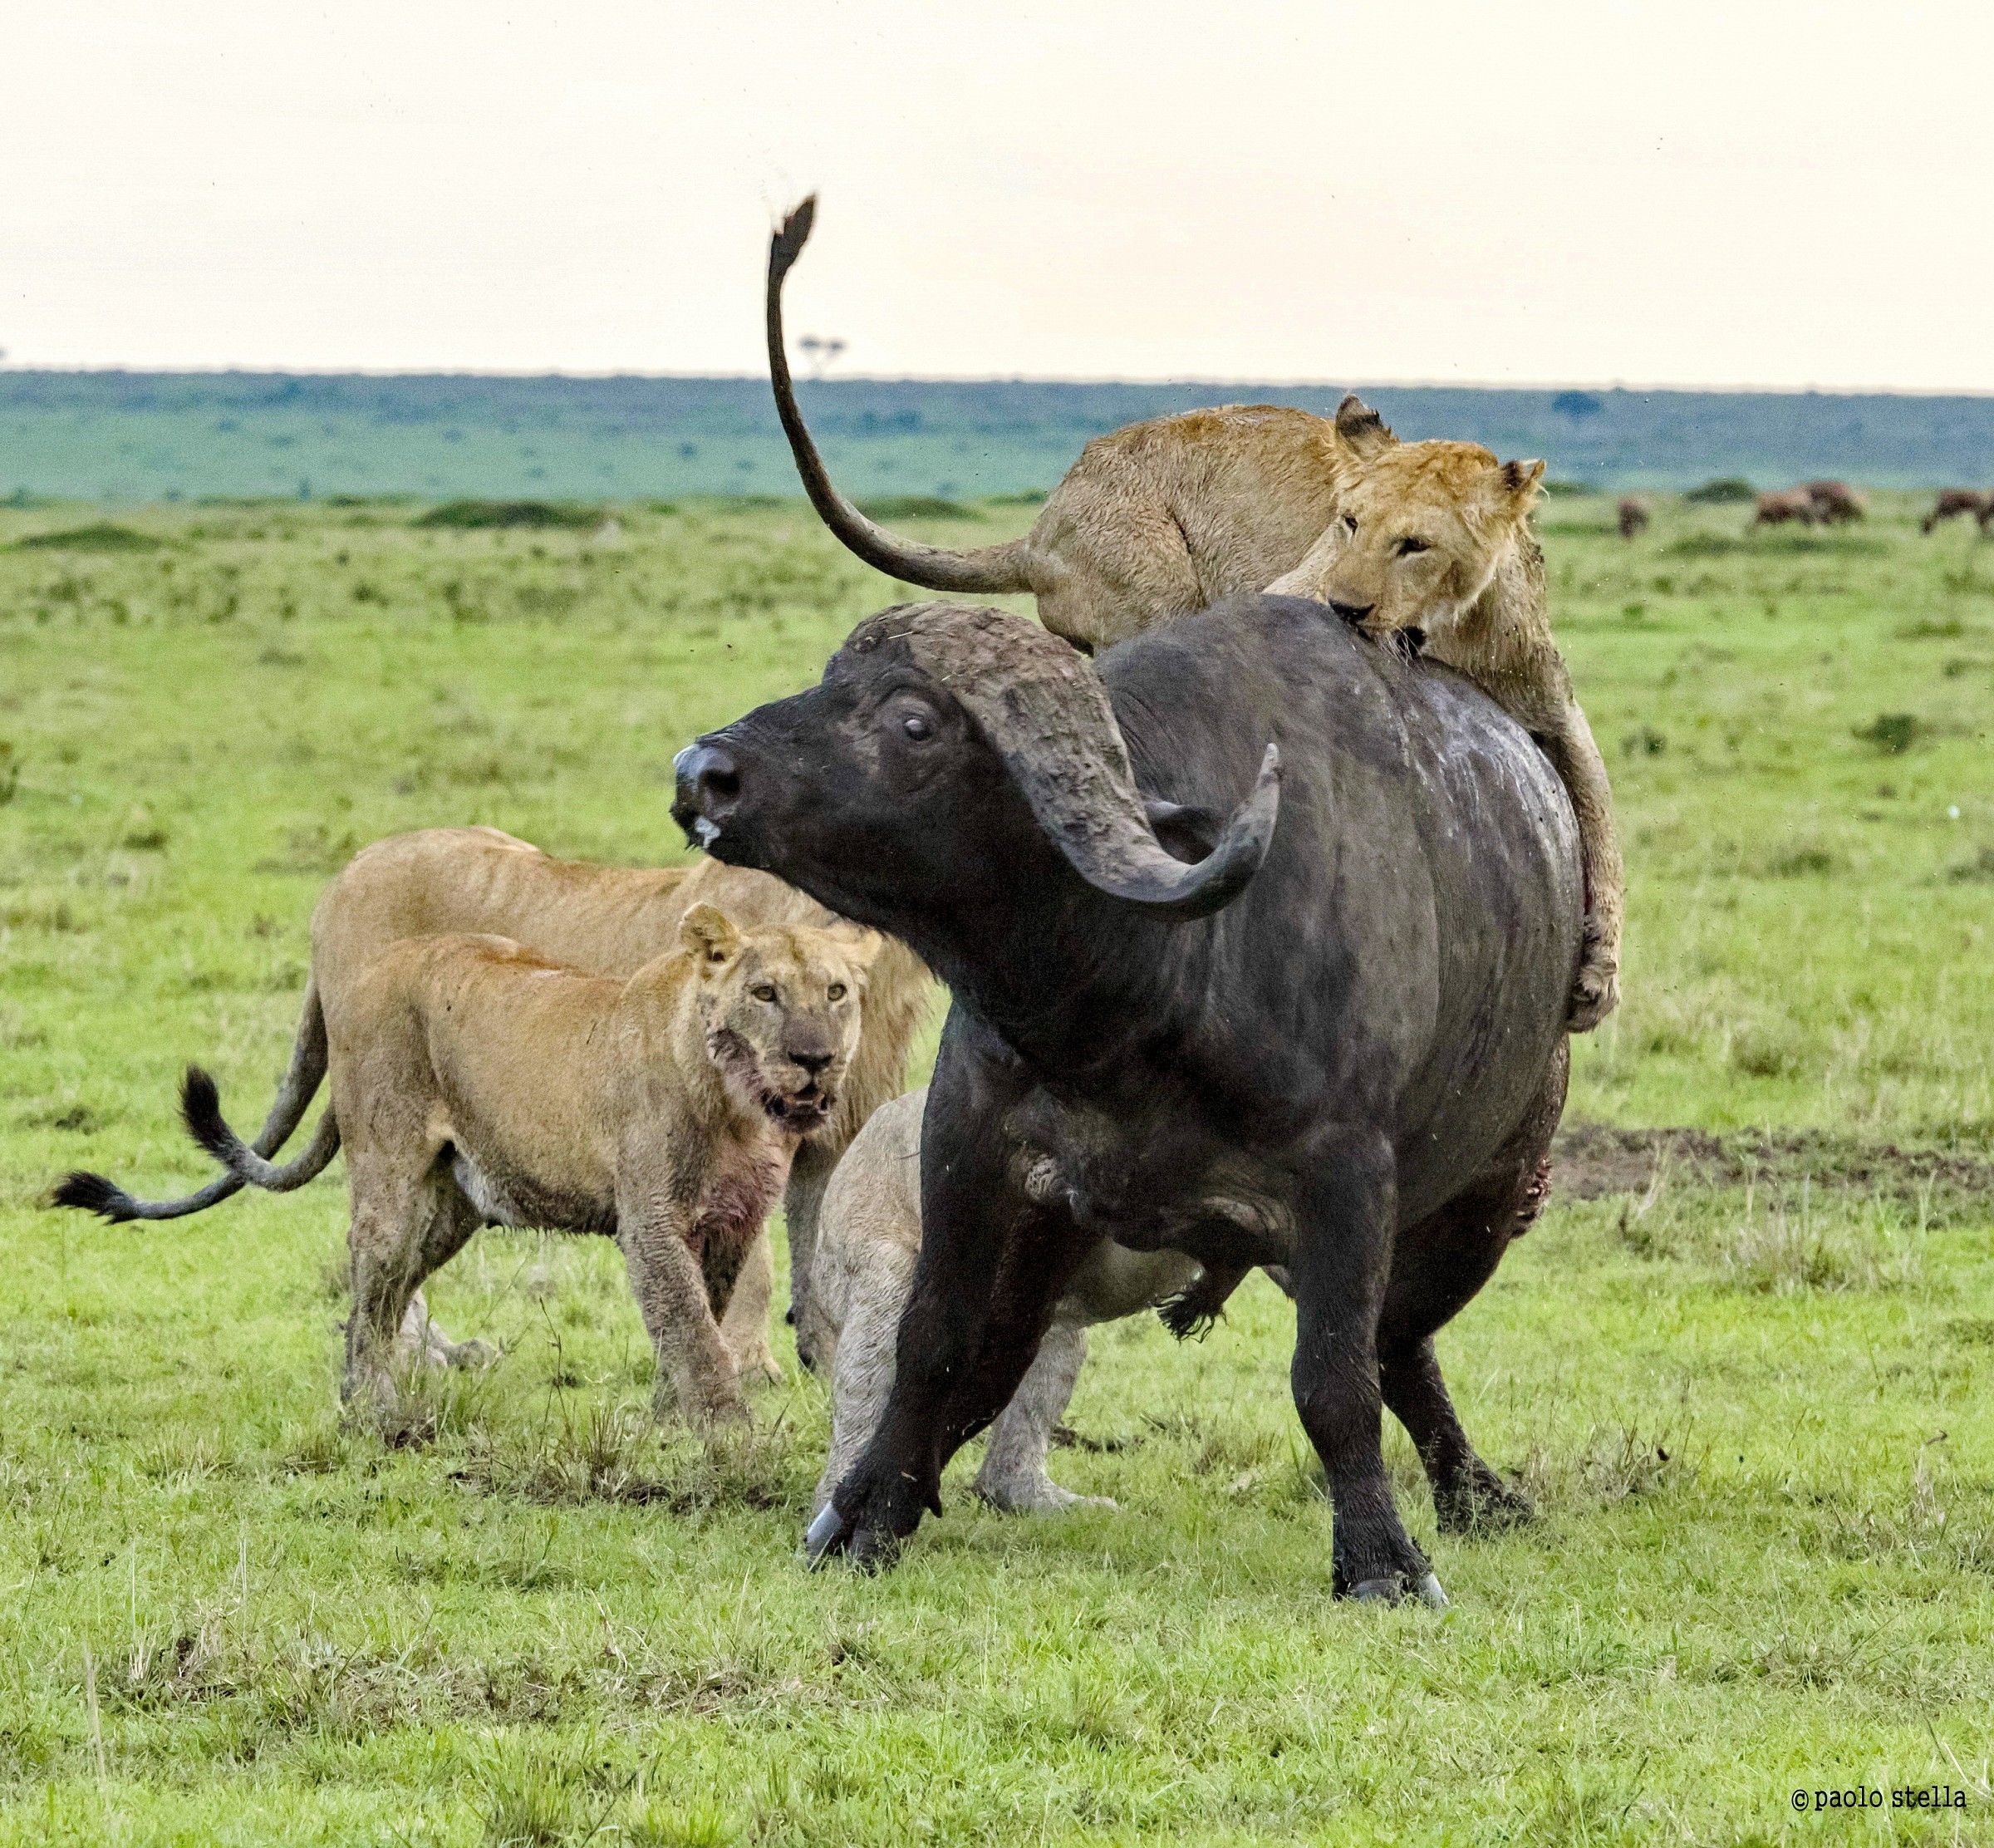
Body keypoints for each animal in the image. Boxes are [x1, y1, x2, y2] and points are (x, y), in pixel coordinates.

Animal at [675, 597, 1579, 1603]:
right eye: (831, 682)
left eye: (914, 721)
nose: (701, 774)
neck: (1139, 995)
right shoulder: (972, 1150)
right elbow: (936, 1340)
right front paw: (867, 1511)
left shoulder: (1351, 1180)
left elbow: (1335, 1380)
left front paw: (1381, 1560)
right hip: (1053, 1234)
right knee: (999, 1357)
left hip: (1487, 1201)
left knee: (1399, 1338)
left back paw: (1476, 1496)